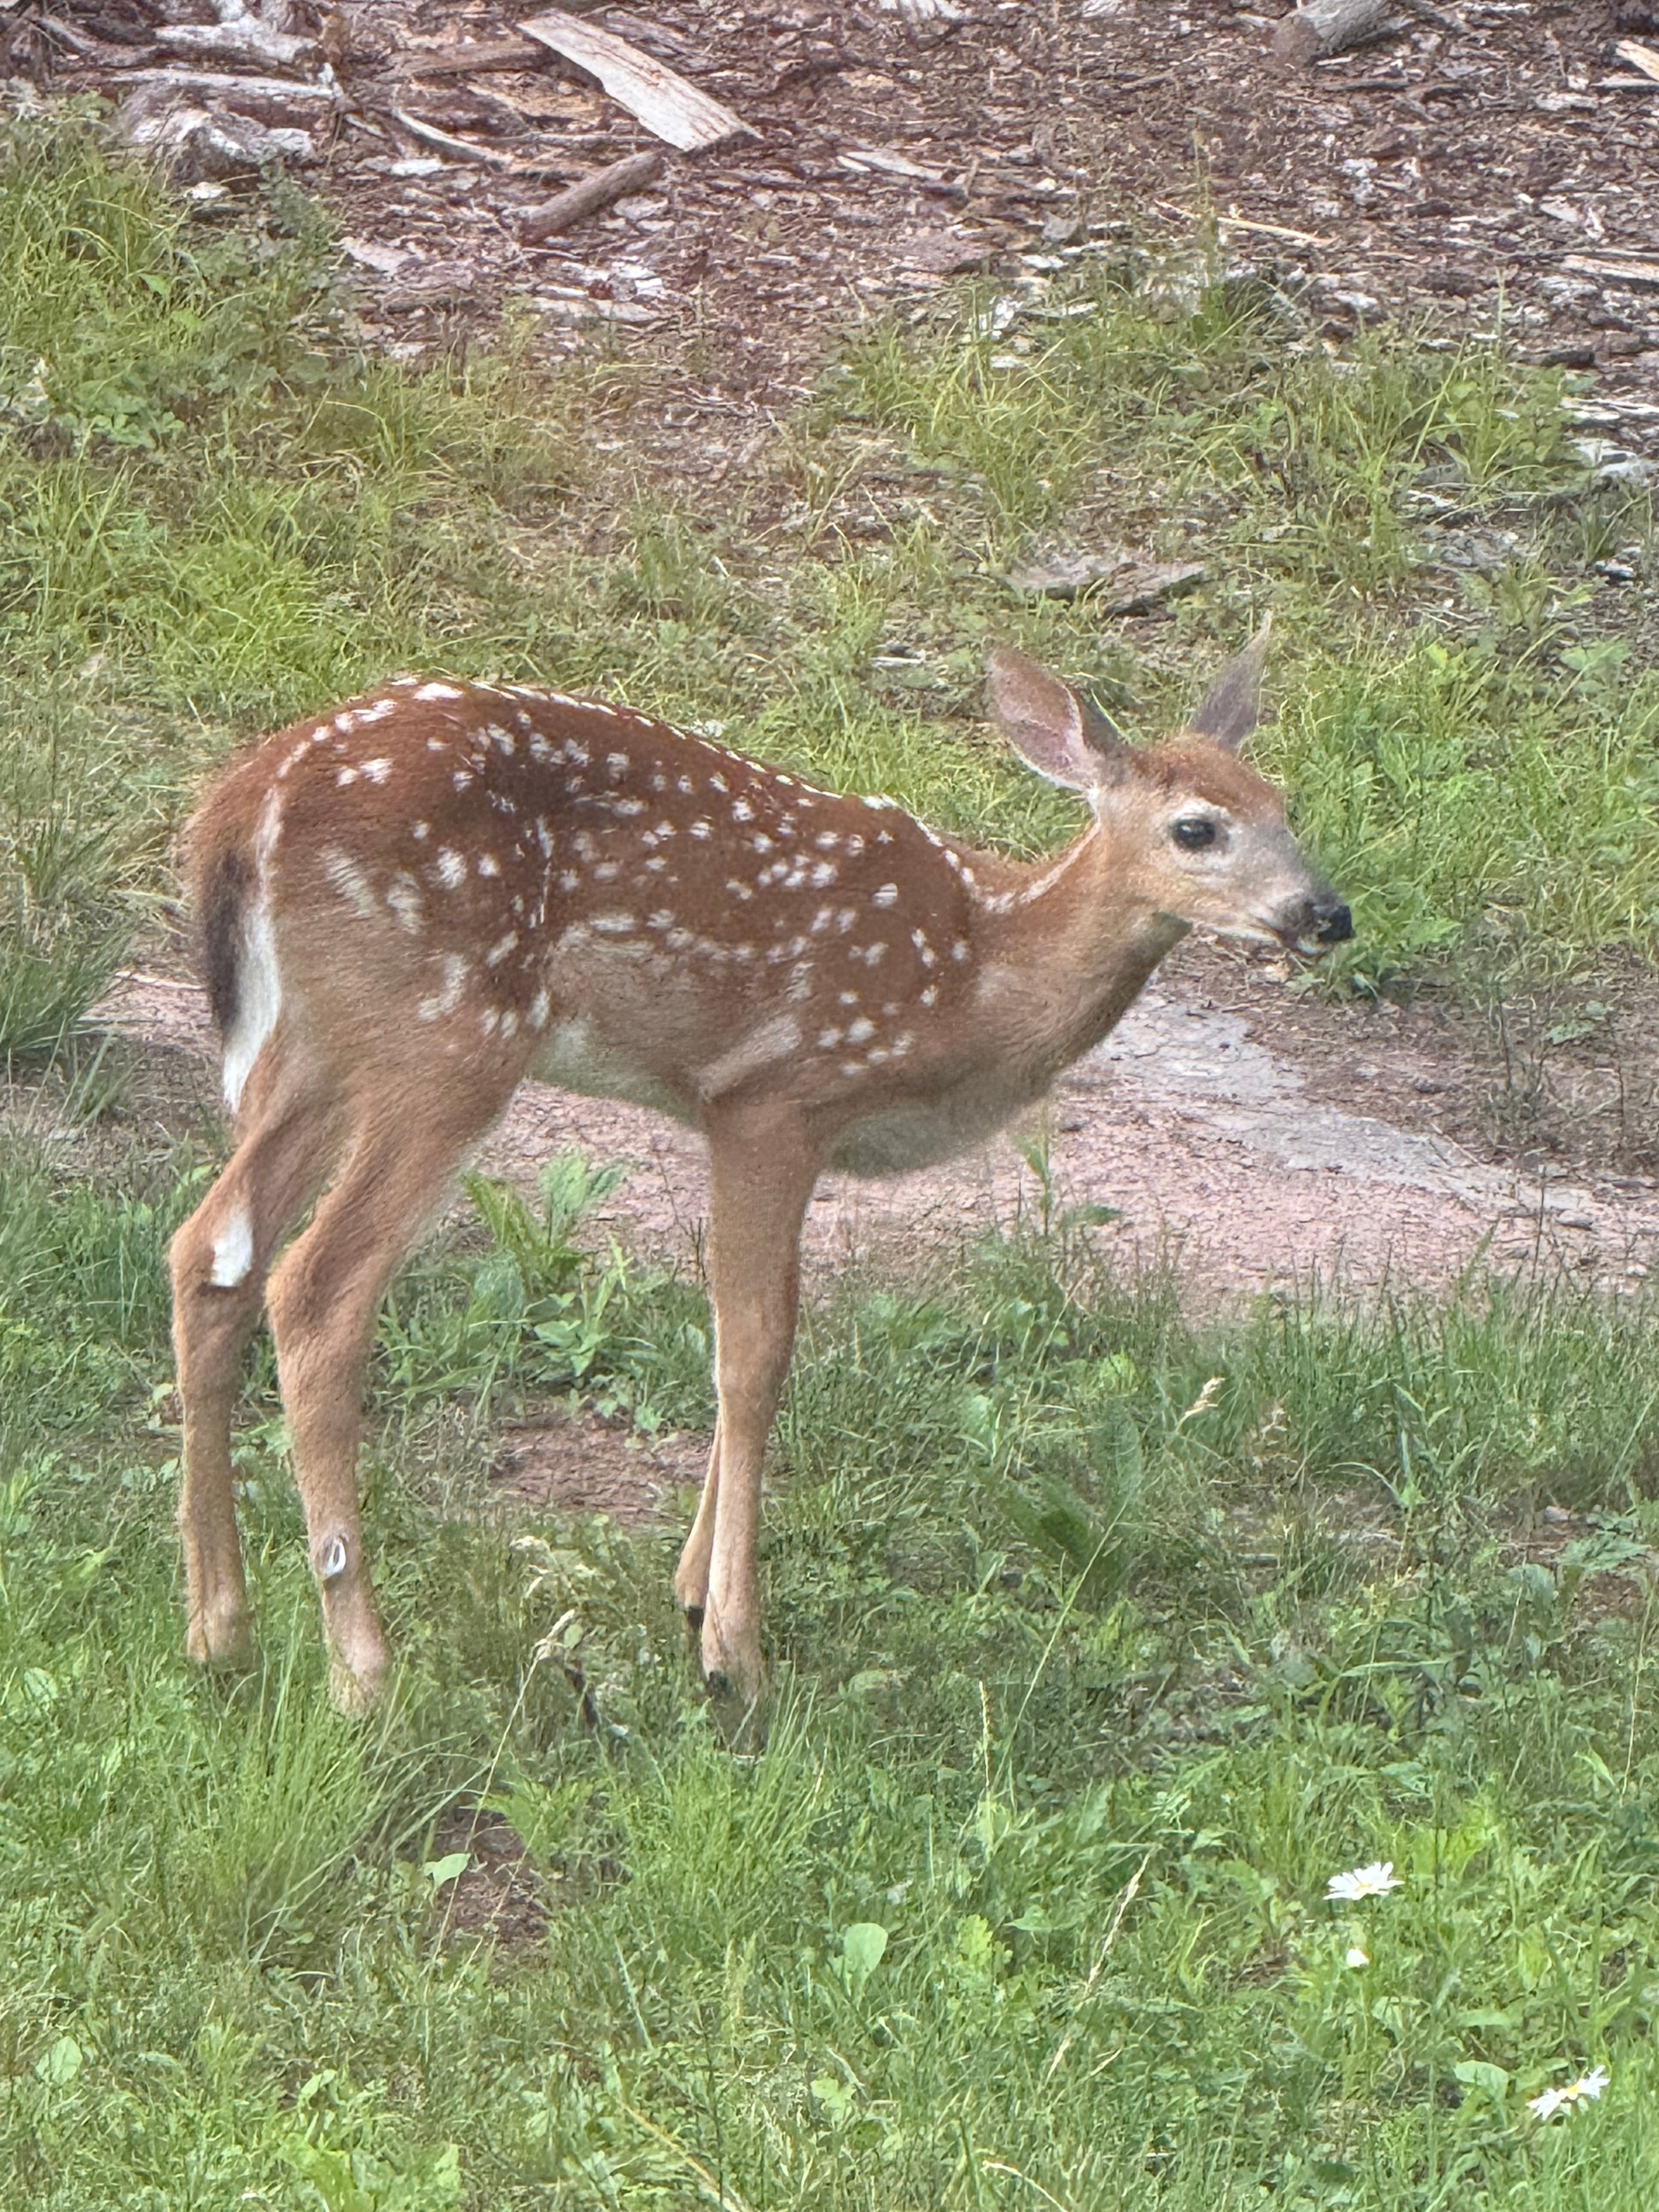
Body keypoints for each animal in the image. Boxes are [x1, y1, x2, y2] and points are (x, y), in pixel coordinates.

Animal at [167, 623, 1350, 1716]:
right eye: (1197, 828)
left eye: (1286, 803)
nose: (1326, 913)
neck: (974, 971)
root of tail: (247, 799)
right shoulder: (772, 1099)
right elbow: (755, 1351)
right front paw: (734, 1649)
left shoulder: (749, 1118)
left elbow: (744, 1334)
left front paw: (693, 1592)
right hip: (445, 1036)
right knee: (316, 1287)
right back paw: (361, 1674)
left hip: (318, 1044)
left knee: (209, 1249)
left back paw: (219, 1633)